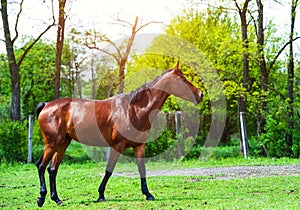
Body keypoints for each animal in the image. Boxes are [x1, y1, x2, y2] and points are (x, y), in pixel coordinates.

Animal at [36, 62, 203, 207]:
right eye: (183, 79)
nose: (200, 94)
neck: (133, 110)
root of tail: (47, 105)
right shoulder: (118, 146)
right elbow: (109, 170)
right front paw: (101, 195)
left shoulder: (139, 146)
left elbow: (142, 170)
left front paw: (148, 194)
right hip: (52, 144)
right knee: (41, 166)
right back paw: (41, 198)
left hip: (63, 144)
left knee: (52, 169)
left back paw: (57, 199)